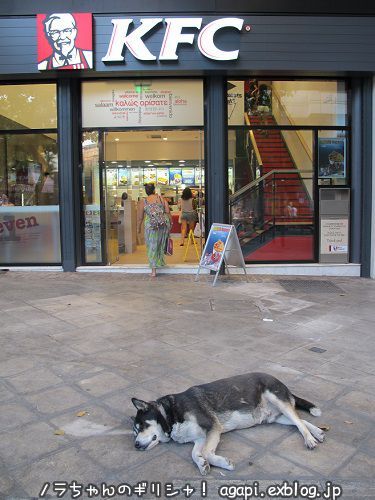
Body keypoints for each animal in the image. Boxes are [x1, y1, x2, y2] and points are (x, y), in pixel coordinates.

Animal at [131, 372, 324, 476]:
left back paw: (310, 439)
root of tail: (280, 381)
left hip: (277, 400)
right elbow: (195, 453)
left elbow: (206, 453)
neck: (170, 413)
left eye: (141, 426)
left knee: (299, 422)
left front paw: (222, 463)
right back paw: (318, 432)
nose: (136, 445)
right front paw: (202, 464)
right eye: (134, 432)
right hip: (274, 417)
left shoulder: (213, 429)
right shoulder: (200, 438)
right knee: (300, 421)